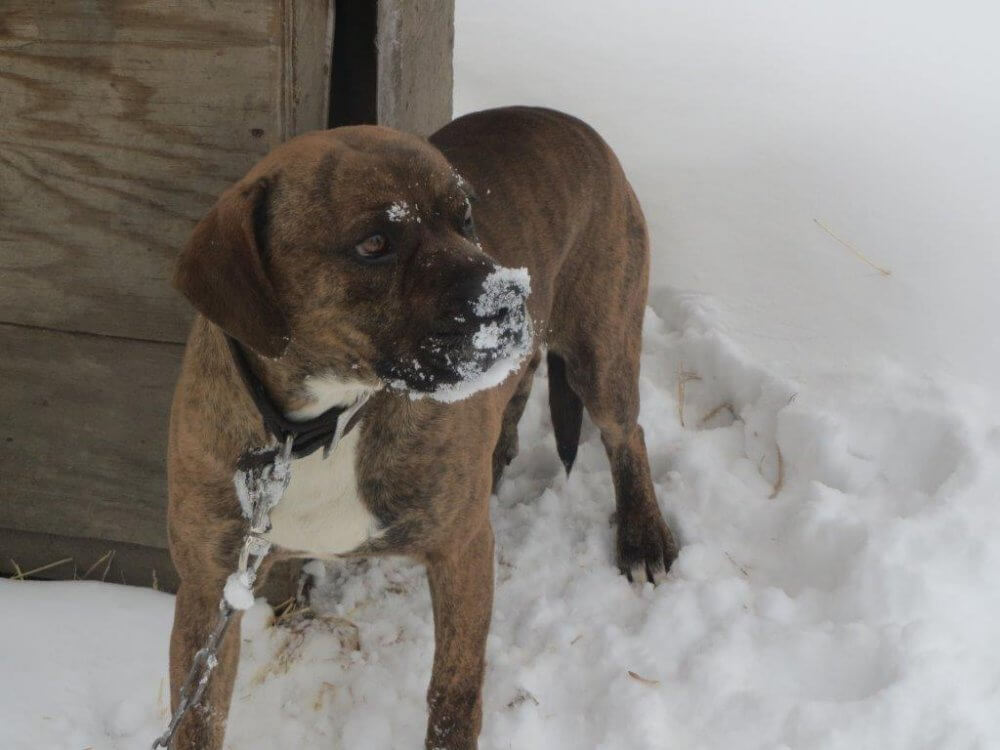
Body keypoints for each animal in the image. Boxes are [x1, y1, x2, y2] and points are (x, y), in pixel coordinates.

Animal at [168, 107, 676, 750]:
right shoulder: (208, 587)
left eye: (466, 218)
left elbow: (453, 692)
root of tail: (569, 121)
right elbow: (198, 716)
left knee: (625, 434)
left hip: (602, 352)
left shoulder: (461, 552)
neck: (319, 425)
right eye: (374, 244)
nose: (511, 298)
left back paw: (643, 537)